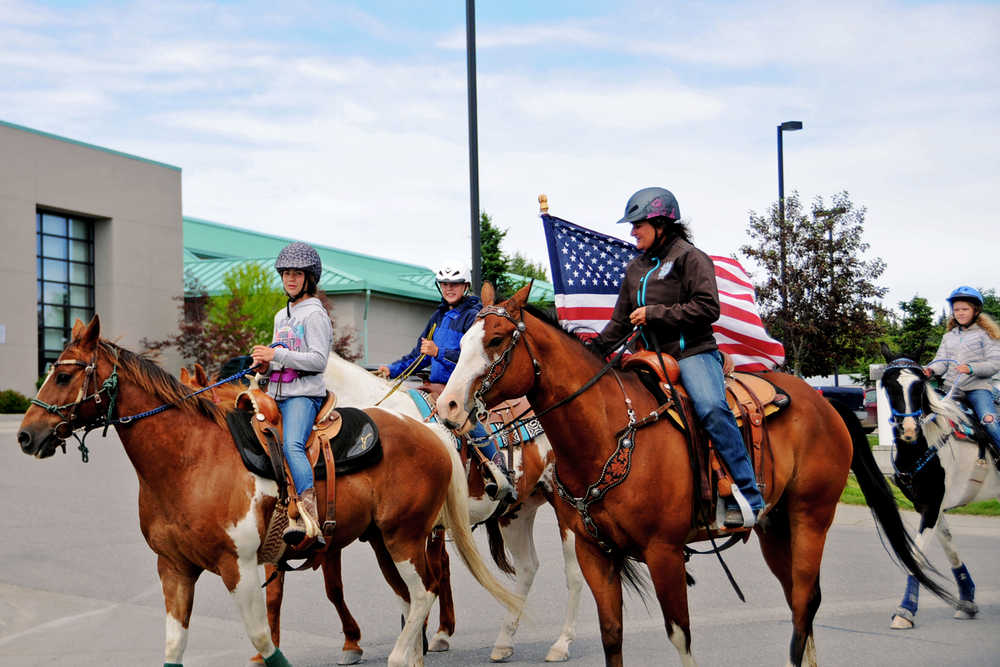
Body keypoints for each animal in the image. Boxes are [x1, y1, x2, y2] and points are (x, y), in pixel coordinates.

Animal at [17, 318, 524, 667]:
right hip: (386, 541)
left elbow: (264, 634)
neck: (190, 458)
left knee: (425, 592)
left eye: (64, 376)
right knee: (413, 596)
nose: (25, 435)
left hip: (406, 537)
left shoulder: (238, 566)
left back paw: (410, 651)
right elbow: (175, 645)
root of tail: (431, 431)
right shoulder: (174, 569)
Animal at [436, 286, 952, 667]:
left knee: (806, 603)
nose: (449, 407)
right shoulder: (595, 553)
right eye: (462, 342)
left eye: (496, 340)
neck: (609, 432)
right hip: (775, 528)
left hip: (812, 518)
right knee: (799, 602)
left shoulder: (663, 553)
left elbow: (680, 637)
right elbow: (611, 637)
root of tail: (824, 402)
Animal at [880, 350, 996, 632]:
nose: (909, 429)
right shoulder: (930, 505)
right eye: (889, 385)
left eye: (919, 386)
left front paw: (905, 611)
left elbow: (916, 556)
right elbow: (949, 548)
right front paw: (967, 601)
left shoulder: (933, 505)